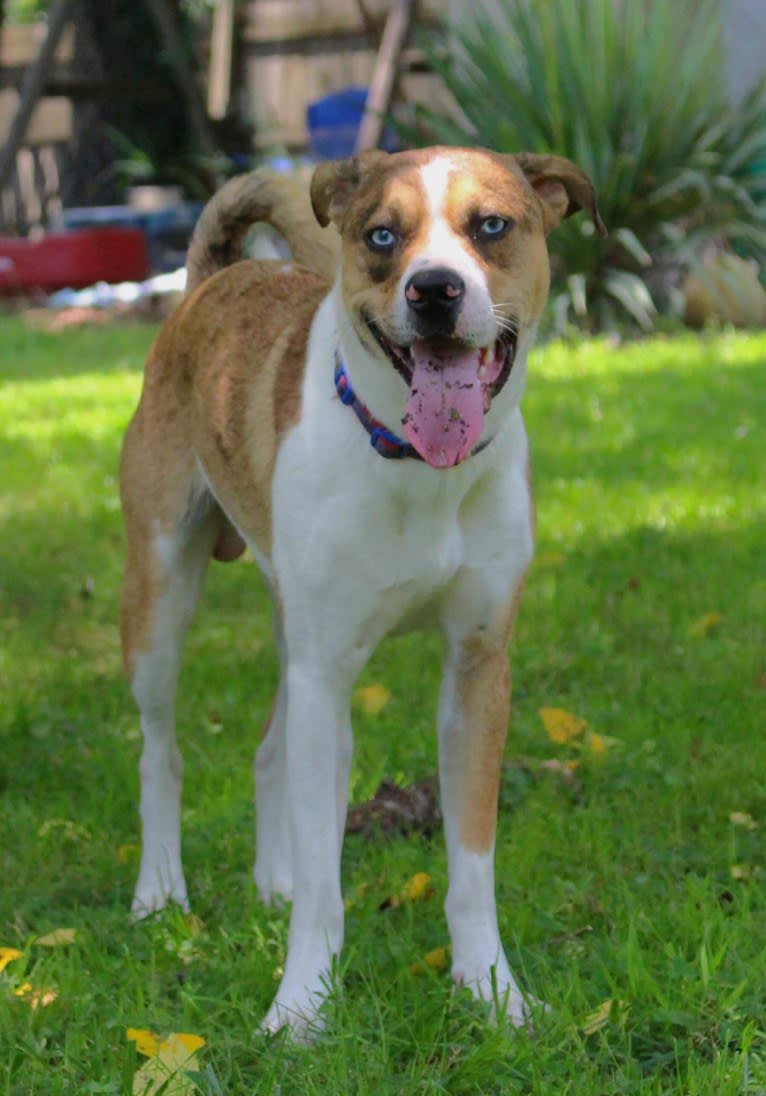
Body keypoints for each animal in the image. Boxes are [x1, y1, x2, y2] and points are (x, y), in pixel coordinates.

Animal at [119, 147, 604, 1034]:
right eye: (382, 235)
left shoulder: (478, 668)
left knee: (267, 750)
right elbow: (325, 879)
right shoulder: (327, 677)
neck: (420, 469)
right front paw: (302, 1010)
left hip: (292, 628)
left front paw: (493, 993)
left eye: (492, 225)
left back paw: (268, 883)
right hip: (161, 595)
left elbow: (472, 860)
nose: (434, 290)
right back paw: (161, 892)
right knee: (160, 749)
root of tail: (214, 278)